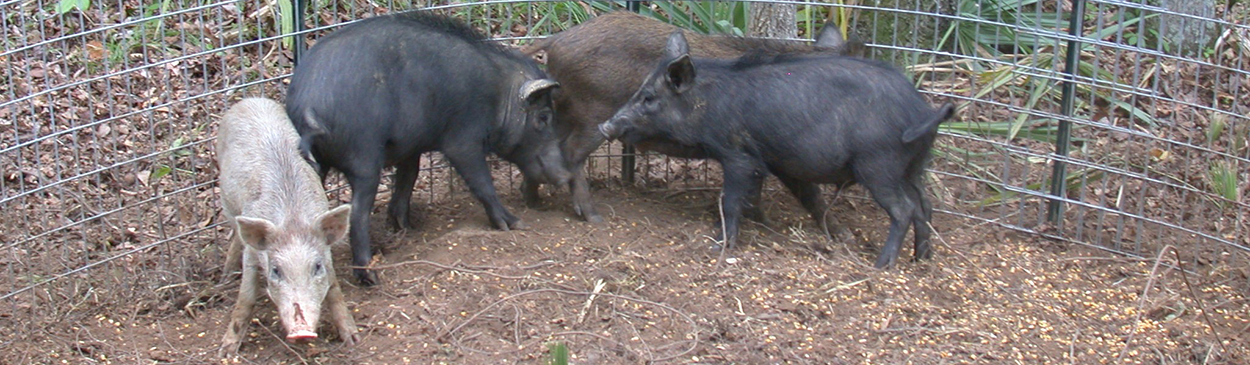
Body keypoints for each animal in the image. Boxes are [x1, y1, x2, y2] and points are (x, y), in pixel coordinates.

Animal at [600, 32, 950, 267]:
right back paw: (922, 257)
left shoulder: (737, 154)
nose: (606, 125)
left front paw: (719, 245)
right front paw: (764, 224)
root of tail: (921, 111)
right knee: (925, 206)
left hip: (879, 165)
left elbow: (730, 200)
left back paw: (882, 264)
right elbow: (760, 197)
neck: (707, 103)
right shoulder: (765, 161)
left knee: (904, 209)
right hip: (915, 165)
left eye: (648, 98)